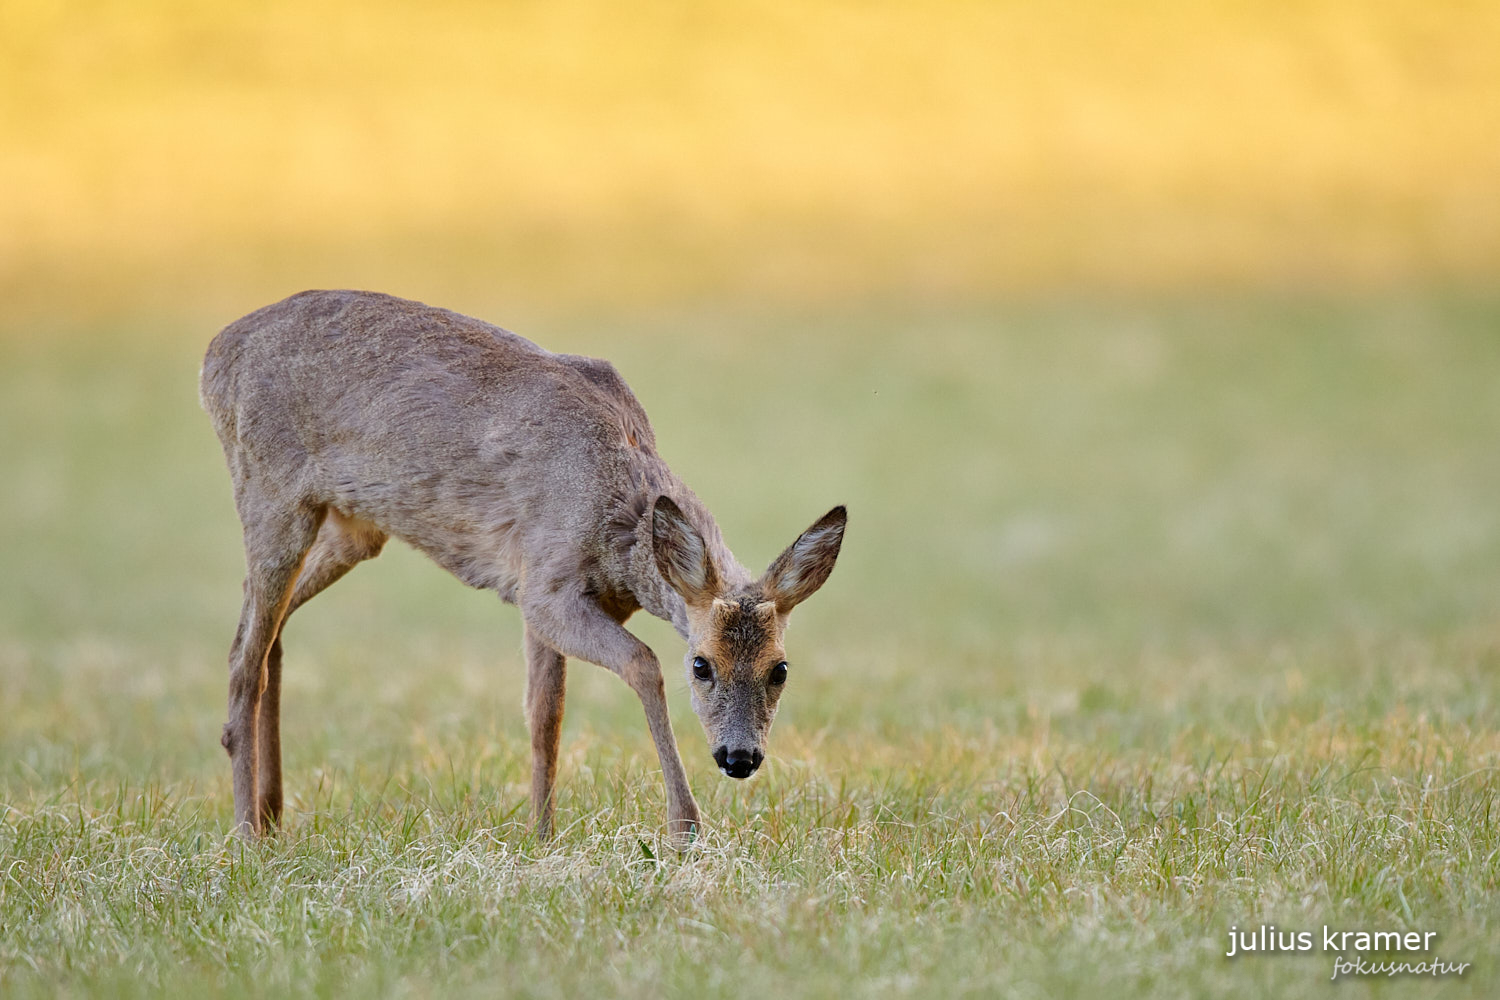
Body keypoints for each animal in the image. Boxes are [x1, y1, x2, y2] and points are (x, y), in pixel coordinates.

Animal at [201, 290, 852, 845]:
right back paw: (246, 834)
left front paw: (541, 837)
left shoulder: (546, 597)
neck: (618, 520)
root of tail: (215, 356)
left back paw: (272, 811)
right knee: (242, 656)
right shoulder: (546, 586)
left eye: (780, 669)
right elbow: (641, 664)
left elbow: (545, 718)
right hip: (270, 492)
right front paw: (684, 828)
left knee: (267, 632)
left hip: (353, 528)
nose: (740, 758)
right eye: (701, 665)